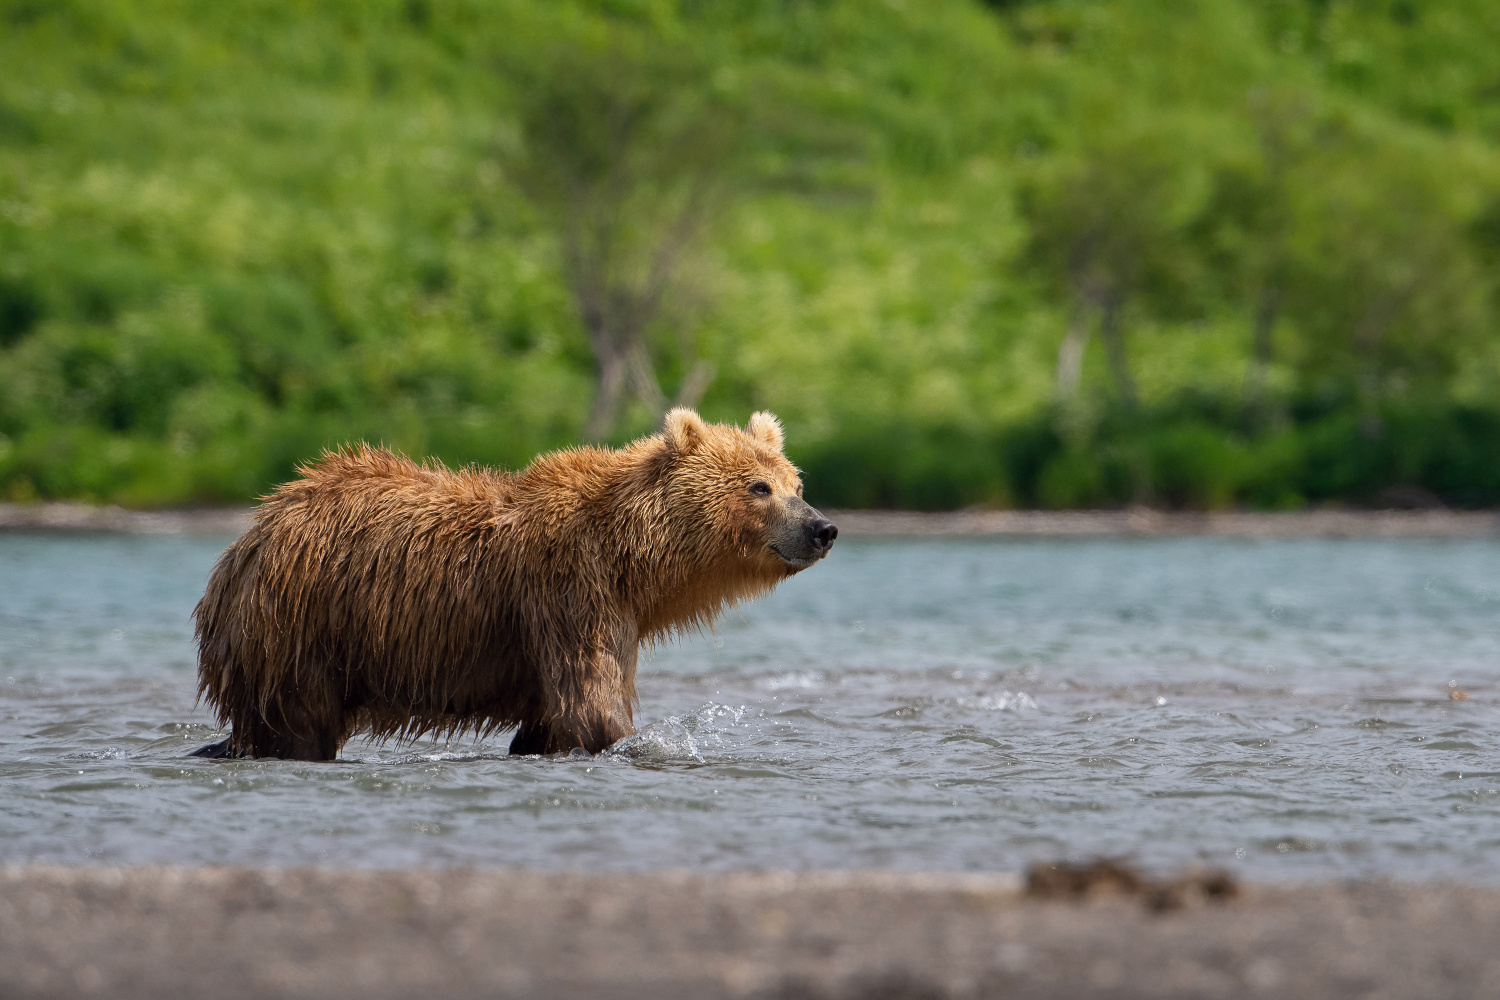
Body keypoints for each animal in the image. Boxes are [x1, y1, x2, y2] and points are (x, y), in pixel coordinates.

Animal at [190, 407, 834, 758]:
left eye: (795, 483)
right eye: (758, 487)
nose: (822, 528)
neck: (632, 558)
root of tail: (246, 541)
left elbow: (551, 719)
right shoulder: (571, 590)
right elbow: (591, 708)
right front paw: (631, 740)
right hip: (302, 623)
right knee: (299, 725)